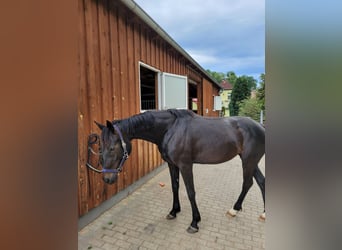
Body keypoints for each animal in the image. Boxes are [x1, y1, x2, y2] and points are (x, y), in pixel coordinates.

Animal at [93, 108, 264, 233]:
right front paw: (174, 211)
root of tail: (260, 126)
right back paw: (256, 212)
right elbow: (175, 187)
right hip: (250, 161)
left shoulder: (185, 165)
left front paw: (194, 222)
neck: (170, 129)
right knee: (260, 182)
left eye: (112, 148)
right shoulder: (172, 164)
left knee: (247, 183)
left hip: (248, 161)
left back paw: (235, 209)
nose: (107, 179)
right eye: (100, 148)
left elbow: (190, 192)